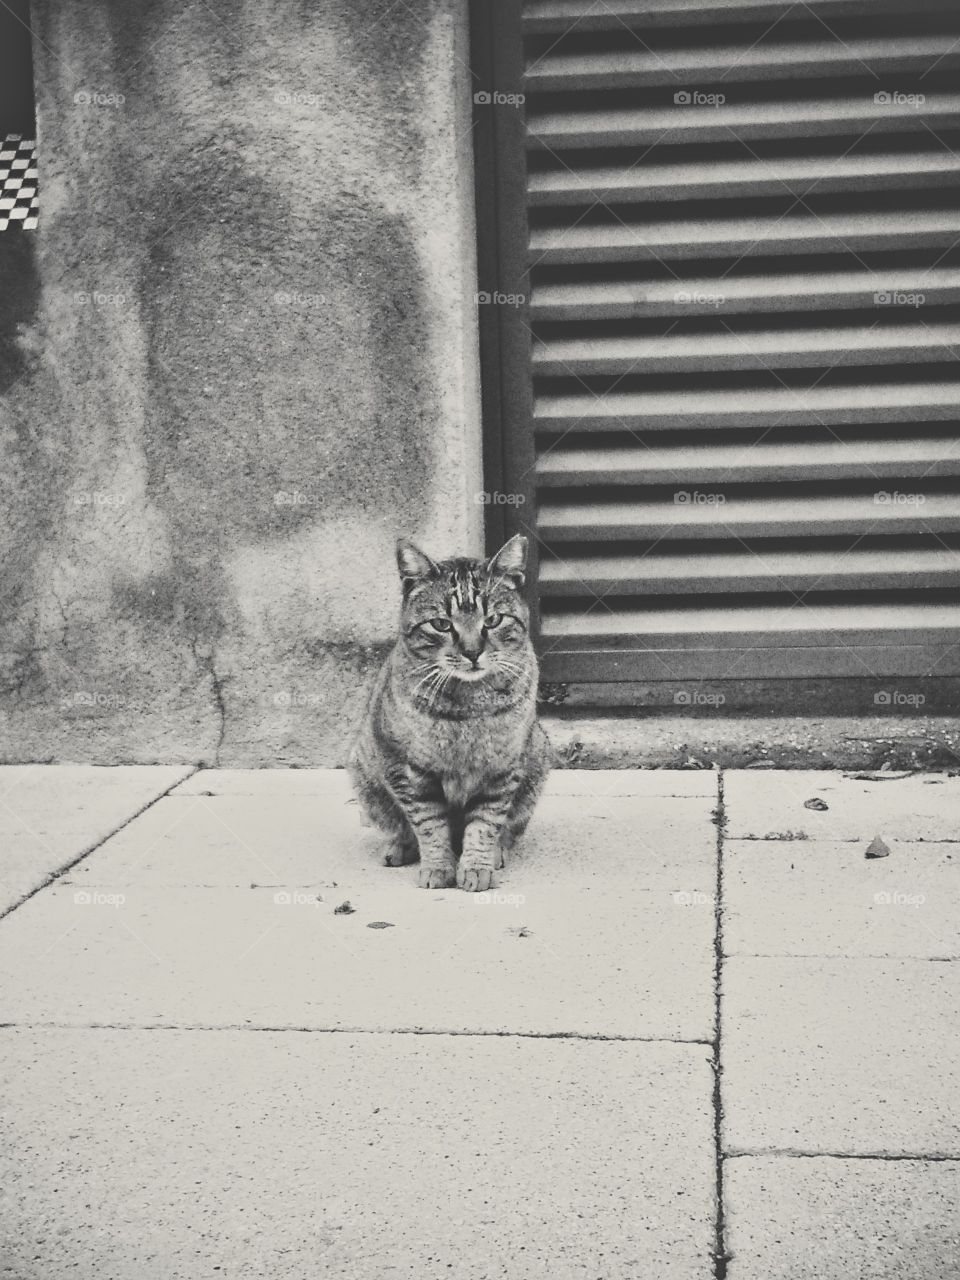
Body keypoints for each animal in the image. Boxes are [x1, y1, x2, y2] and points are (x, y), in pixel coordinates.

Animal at [350, 535, 552, 896]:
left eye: (493, 620)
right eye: (441, 624)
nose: (472, 652)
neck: (468, 706)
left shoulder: (501, 770)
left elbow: (485, 824)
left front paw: (476, 866)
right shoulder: (411, 771)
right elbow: (429, 825)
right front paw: (438, 867)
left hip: (537, 761)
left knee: (508, 828)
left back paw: (497, 852)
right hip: (365, 776)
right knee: (399, 825)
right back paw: (400, 847)